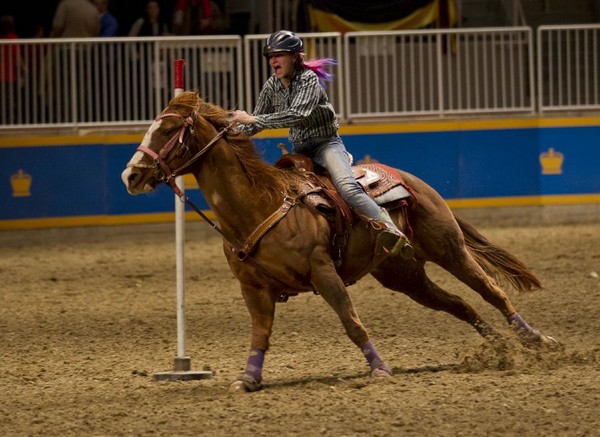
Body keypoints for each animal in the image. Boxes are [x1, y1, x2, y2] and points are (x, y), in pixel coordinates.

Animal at [120, 92, 556, 392]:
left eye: (168, 130)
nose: (130, 176)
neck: (260, 205)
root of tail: (412, 179)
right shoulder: (253, 288)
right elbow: (261, 334)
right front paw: (248, 379)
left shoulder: (323, 271)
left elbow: (351, 321)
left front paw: (379, 369)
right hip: (405, 276)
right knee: (459, 304)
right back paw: (499, 349)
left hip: (449, 248)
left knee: (491, 291)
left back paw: (536, 340)